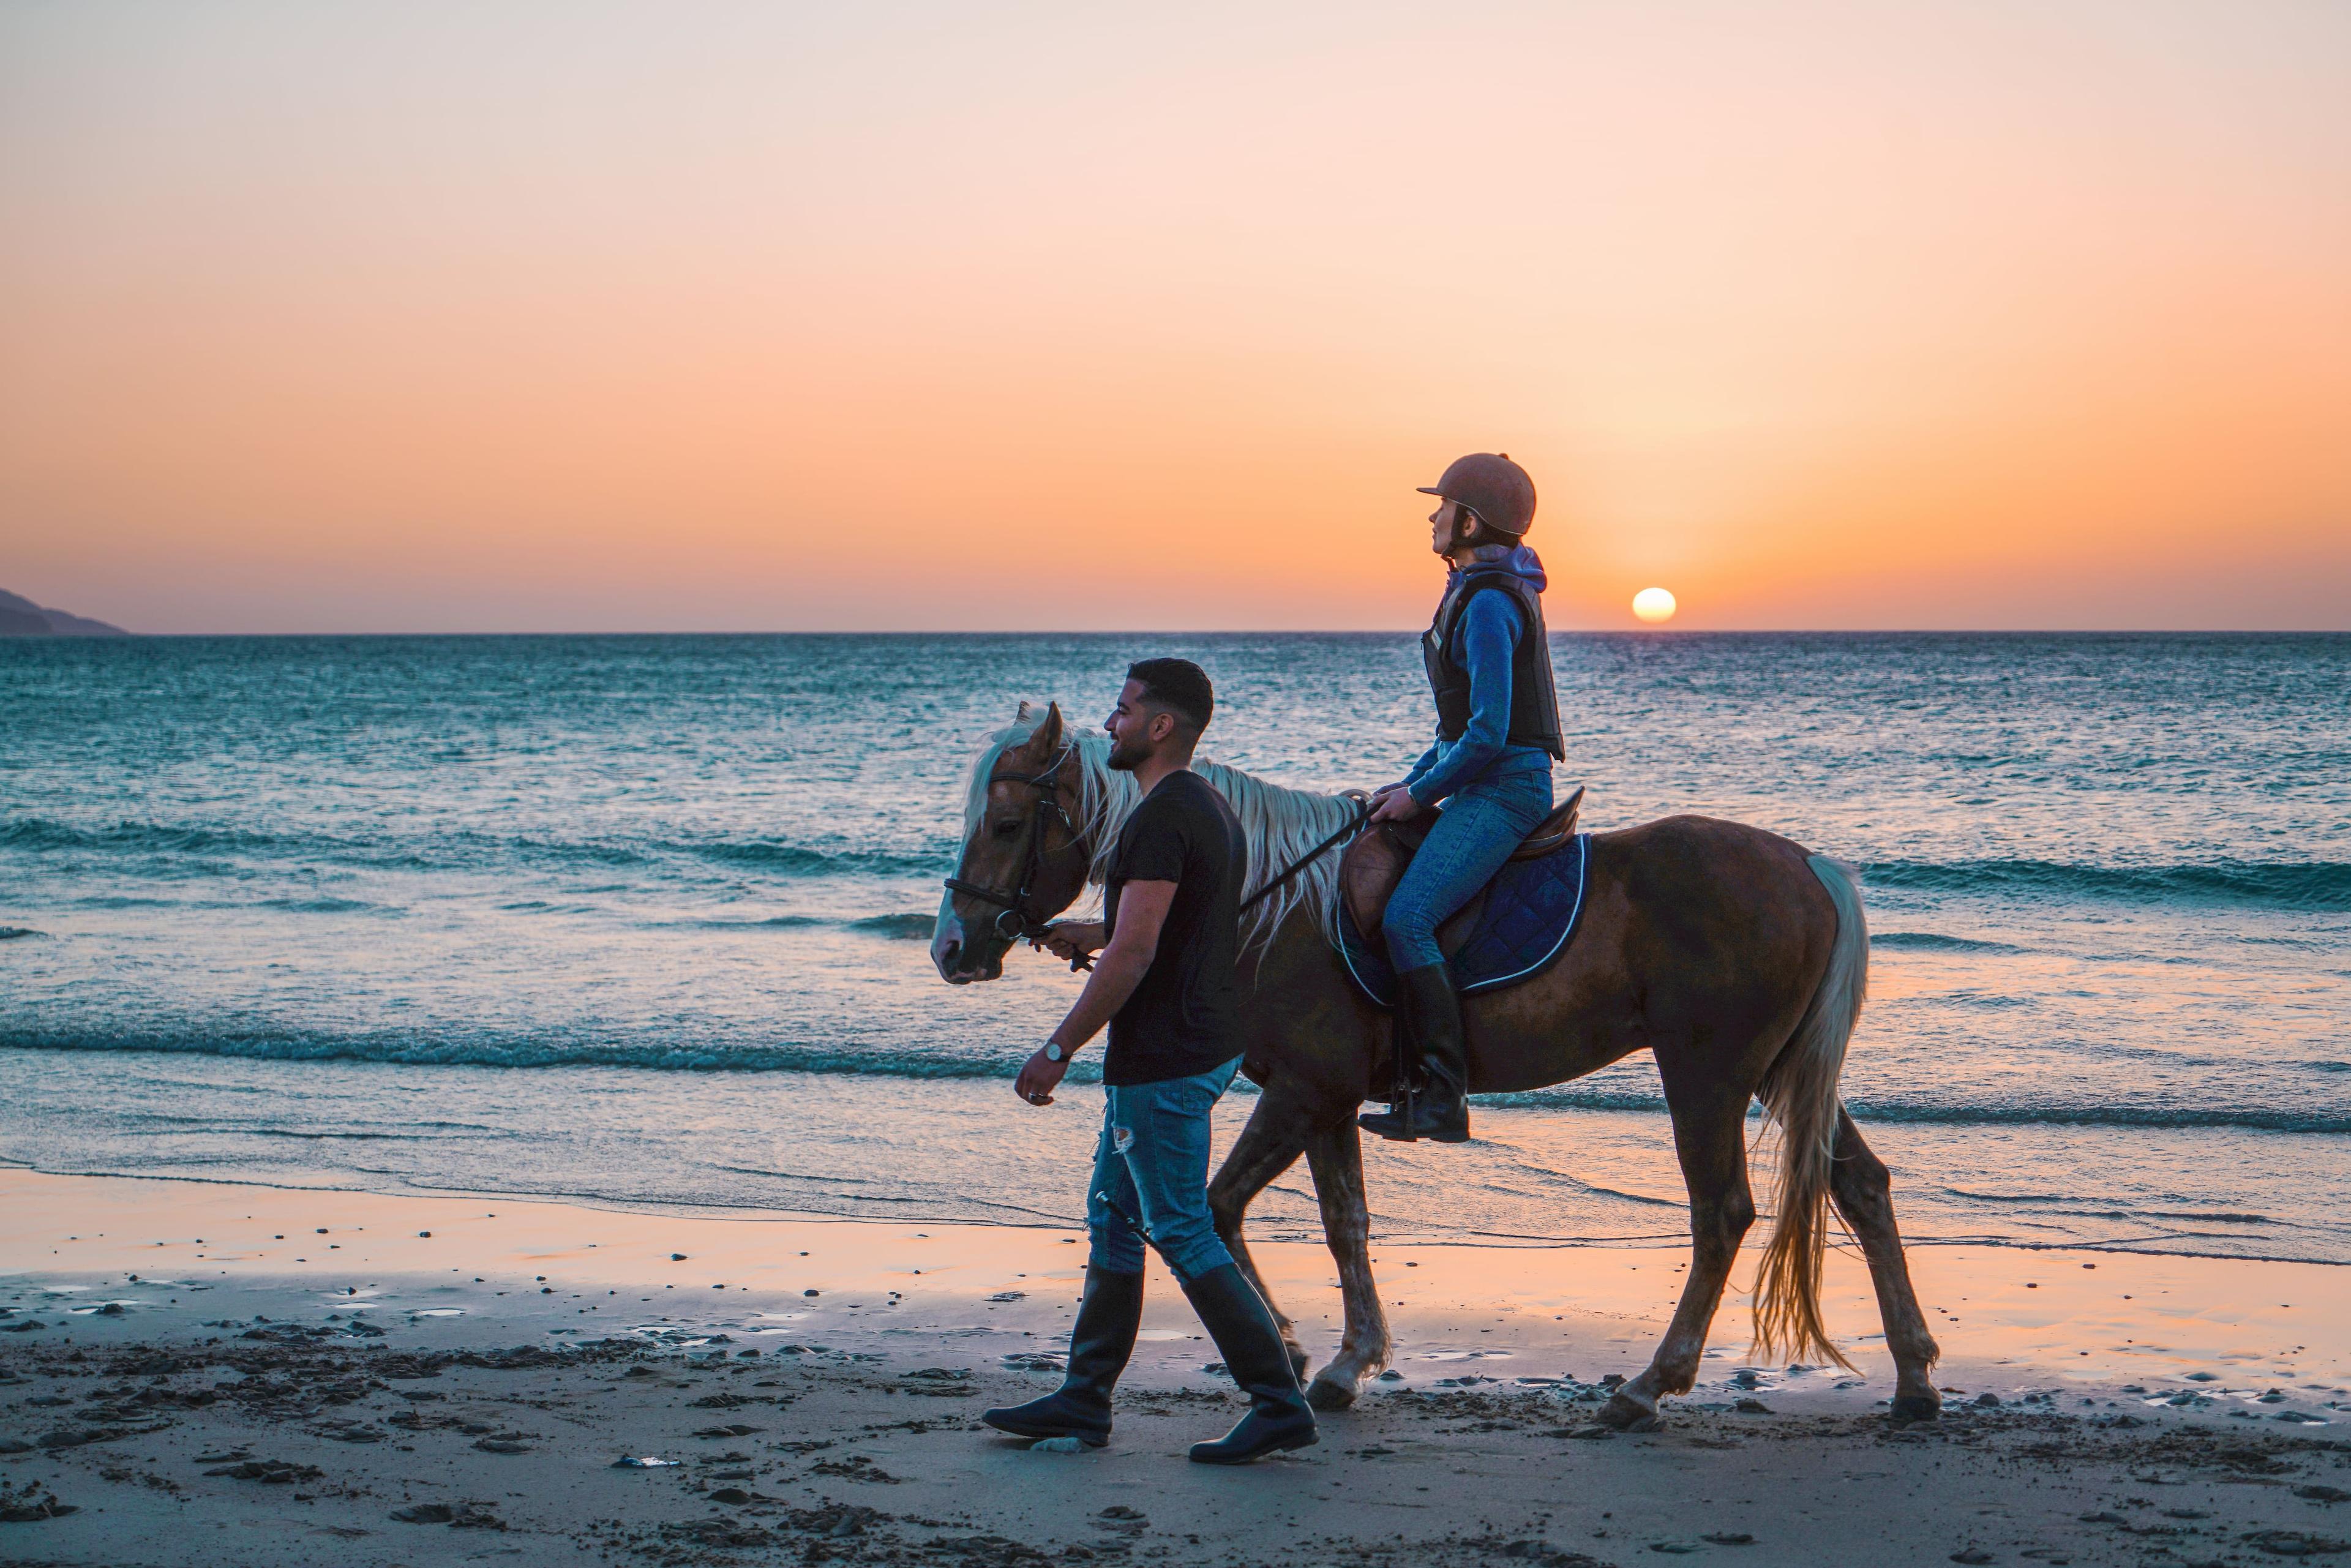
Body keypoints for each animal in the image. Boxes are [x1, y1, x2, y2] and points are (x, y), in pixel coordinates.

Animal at [926, 705, 1937, 1429]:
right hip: (1778, 1071)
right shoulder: (1326, 1101)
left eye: (1007, 823)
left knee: (1722, 1211)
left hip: (1709, 1074)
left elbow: (1220, 1205)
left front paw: (1292, 1349)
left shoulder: (1306, 1090)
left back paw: (1650, 1385)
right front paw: (1344, 1359)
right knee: (1862, 1184)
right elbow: (1342, 1222)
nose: (952, 949)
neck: (1269, 901)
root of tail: (1809, 865)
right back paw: (1915, 1379)